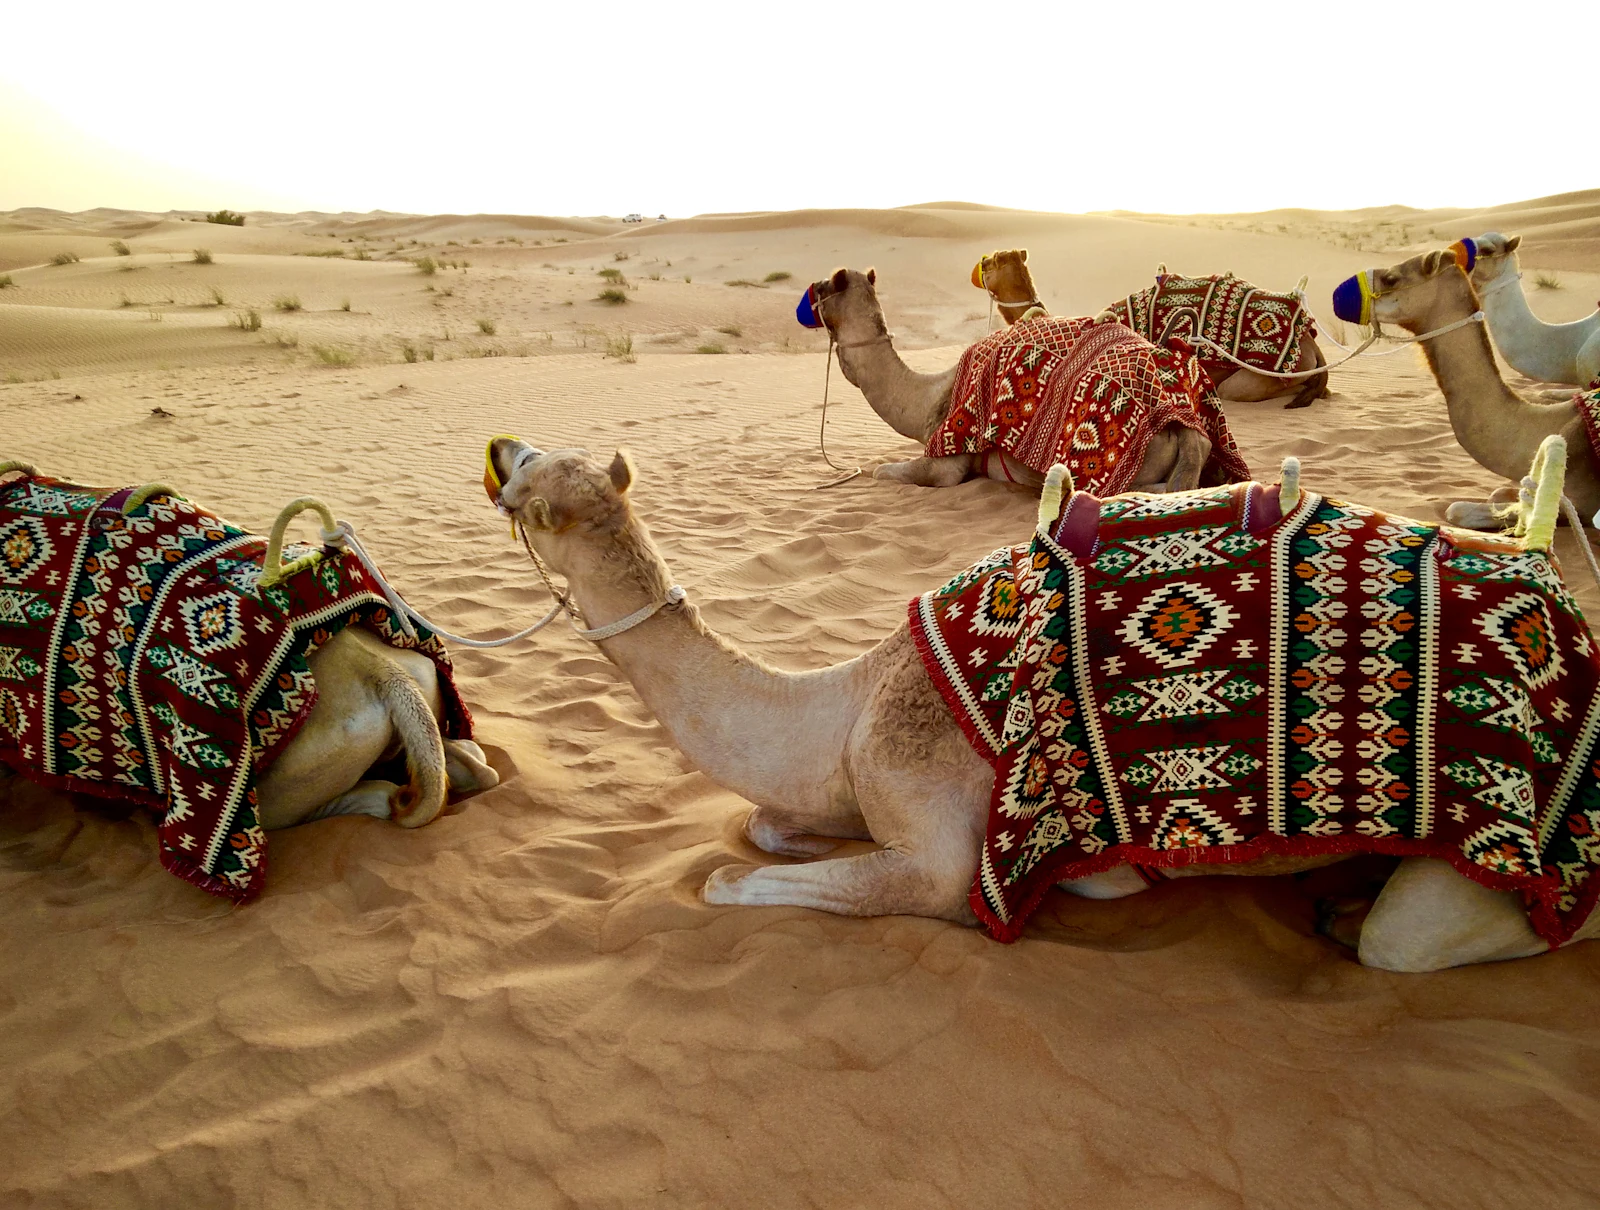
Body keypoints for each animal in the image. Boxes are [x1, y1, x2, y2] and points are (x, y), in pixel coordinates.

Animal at [483, 435, 1600, 970]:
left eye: (531, 487)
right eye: (536, 458)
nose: (497, 447)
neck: (848, 702)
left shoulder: (938, 850)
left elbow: (730, 879)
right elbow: (765, 828)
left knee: (1433, 938)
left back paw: (1352, 915)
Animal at [801, 267, 1222, 492]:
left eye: (822, 288)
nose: (805, 302)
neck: (927, 397)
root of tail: (1184, 424)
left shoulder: (947, 460)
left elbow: (883, 471)